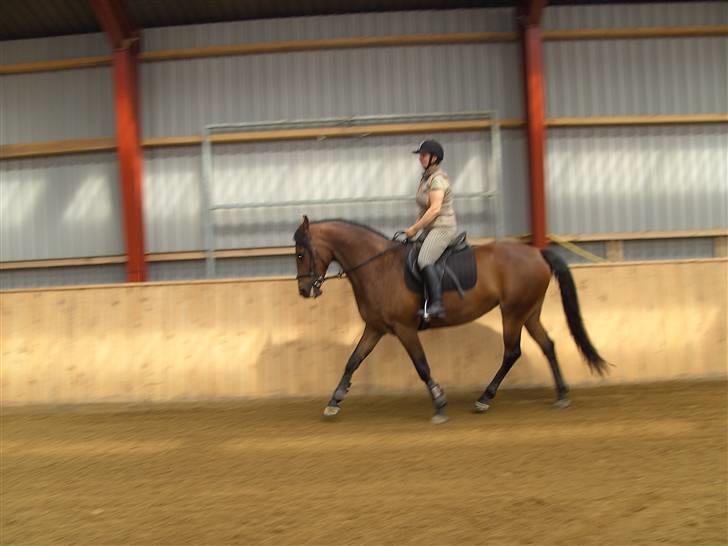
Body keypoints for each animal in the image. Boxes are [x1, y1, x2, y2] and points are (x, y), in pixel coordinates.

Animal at [292, 216, 604, 420]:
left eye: (300, 254)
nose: (304, 290)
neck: (377, 267)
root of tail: (537, 253)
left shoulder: (404, 328)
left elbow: (422, 366)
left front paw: (440, 404)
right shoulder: (376, 327)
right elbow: (353, 360)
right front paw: (334, 401)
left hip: (513, 313)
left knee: (512, 352)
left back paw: (484, 399)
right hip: (529, 312)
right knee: (547, 345)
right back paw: (561, 395)